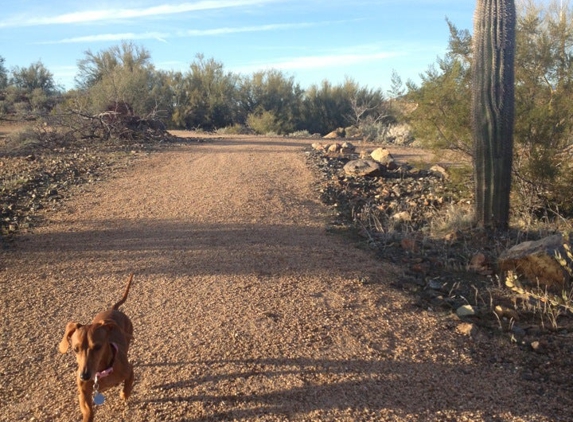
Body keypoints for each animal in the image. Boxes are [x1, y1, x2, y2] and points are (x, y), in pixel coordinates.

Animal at [59, 274, 135, 422]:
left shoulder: (129, 371)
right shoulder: (83, 393)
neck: (101, 372)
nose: (84, 376)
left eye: (98, 347)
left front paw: (124, 394)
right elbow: (88, 412)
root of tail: (114, 309)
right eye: (75, 349)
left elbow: (128, 383)